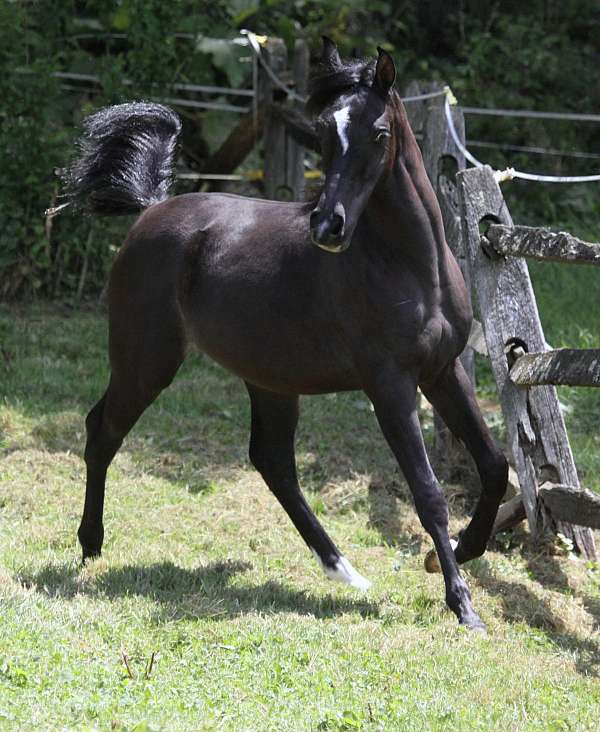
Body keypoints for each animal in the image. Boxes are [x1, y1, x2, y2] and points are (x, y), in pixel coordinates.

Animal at [57, 39, 508, 632]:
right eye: (322, 134)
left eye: (378, 132)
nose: (328, 227)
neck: (412, 265)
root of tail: (151, 211)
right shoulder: (390, 385)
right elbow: (428, 492)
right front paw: (463, 604)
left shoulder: (443, 370)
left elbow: (495, 465)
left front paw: (459, 550)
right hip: (146, 361)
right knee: (102, 431)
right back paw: (90, 544)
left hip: (269, 378)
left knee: (273, 463)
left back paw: (344, 571)